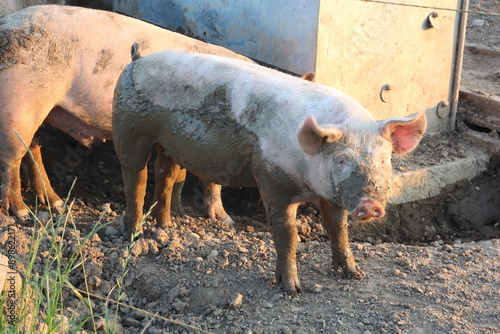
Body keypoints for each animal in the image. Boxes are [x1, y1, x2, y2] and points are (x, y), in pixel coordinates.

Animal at [0, 4, 250, 222]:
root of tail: (6, 23)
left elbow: (180, 175)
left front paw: (180, 210)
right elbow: (212, 182)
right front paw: (226, 220)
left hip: (42, 109)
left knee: (33, 148)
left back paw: (56, 203)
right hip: (20, 102)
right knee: (11, 158)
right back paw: (21, 213)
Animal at [112, 49, 426, 294]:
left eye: (384, 160)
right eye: (341, 160)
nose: (370, 204)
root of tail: (138, 58)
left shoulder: (331, 195)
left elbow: (338, 229)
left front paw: (355, 274)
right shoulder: (272, 177)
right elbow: (287, 234)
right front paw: (293, 290)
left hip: (169, 144)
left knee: (164, 173)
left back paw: (164, 229)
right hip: (129, 125)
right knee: (134, 176)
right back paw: (134, 233)